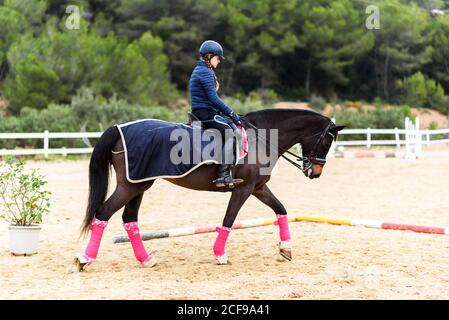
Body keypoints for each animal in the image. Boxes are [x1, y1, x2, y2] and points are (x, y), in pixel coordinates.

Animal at [75, 109, 344, 272]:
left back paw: (146, 259)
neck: (261, 138)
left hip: (139, 184)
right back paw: (84, 259)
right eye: (327, 141)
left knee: (129, 219)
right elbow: (229, 220)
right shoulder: (244, 189)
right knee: (103, 213)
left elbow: (281, 210)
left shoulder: (259, 188)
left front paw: (285, 248)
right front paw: (220, 255)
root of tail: (118, 128)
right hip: (131, 185)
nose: (315, 172)